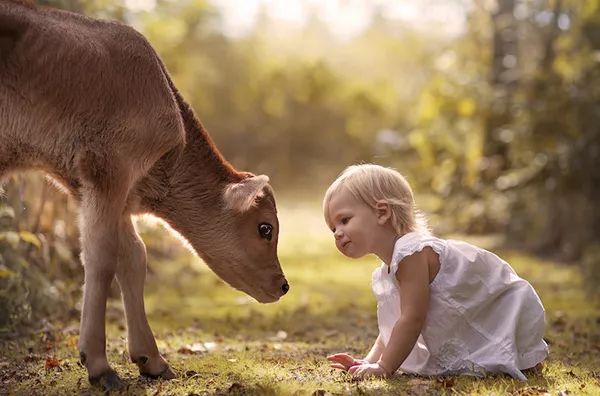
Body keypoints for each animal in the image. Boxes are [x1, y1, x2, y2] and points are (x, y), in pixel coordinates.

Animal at [0, 0, 290, 390]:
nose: (283, 285)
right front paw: (99, 365)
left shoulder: (104, 191)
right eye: (265, 228)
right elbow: (102, 256)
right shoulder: (109, 171)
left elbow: (134, 257)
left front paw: (151, 360)